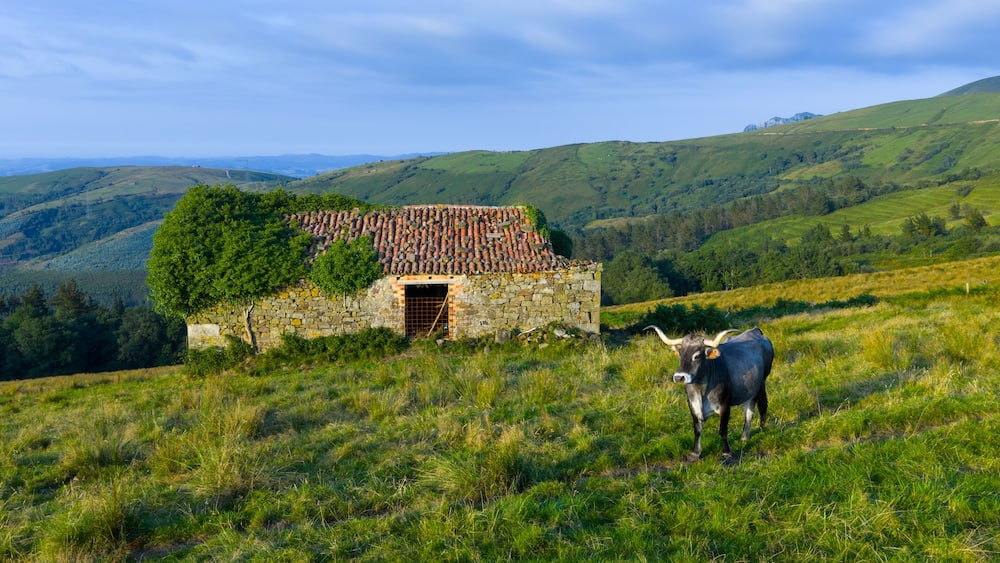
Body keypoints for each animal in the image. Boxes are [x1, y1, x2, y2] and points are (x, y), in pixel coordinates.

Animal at [646, 326, 774, 464]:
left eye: (696, 356)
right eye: (680, 353)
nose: (679, 377)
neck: (701, 389)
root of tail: (755, 330)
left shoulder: (725, 405)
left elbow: (722, 429)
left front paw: (726, 453)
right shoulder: (692, 404)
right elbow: (697, 430)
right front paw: (695, 453)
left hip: (760, 385)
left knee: (756, 408)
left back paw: (756, 431)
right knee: (748, 409)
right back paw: (745, 437)